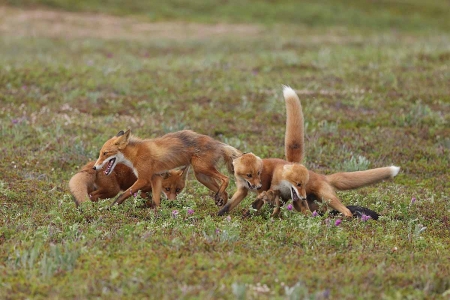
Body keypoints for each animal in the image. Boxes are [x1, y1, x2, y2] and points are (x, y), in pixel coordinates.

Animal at [92, 129, 243, 209]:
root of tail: (218, 143)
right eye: (100, 153)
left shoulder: (143, 178)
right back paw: (221, 205)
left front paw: (110, 207)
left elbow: (123, 194)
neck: (136, 154)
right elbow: (156, 200)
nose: (94, 167)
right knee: (225, 192)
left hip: (202, 168)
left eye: (104, 153)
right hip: (201, 175)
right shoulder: (156, 177)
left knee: (226, 178)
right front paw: (157, 213)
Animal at [220, 86, 400, 218]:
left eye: (259, 173)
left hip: (326, 198)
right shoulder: (242, 190)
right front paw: (220, 214)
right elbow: (229, 205)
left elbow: (256, 205)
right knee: (318, 211)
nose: (257, 185)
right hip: (310, 201)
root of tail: (322, 176)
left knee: (344, 210)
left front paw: (248, 215)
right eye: (249, 174)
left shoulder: (264, 191)